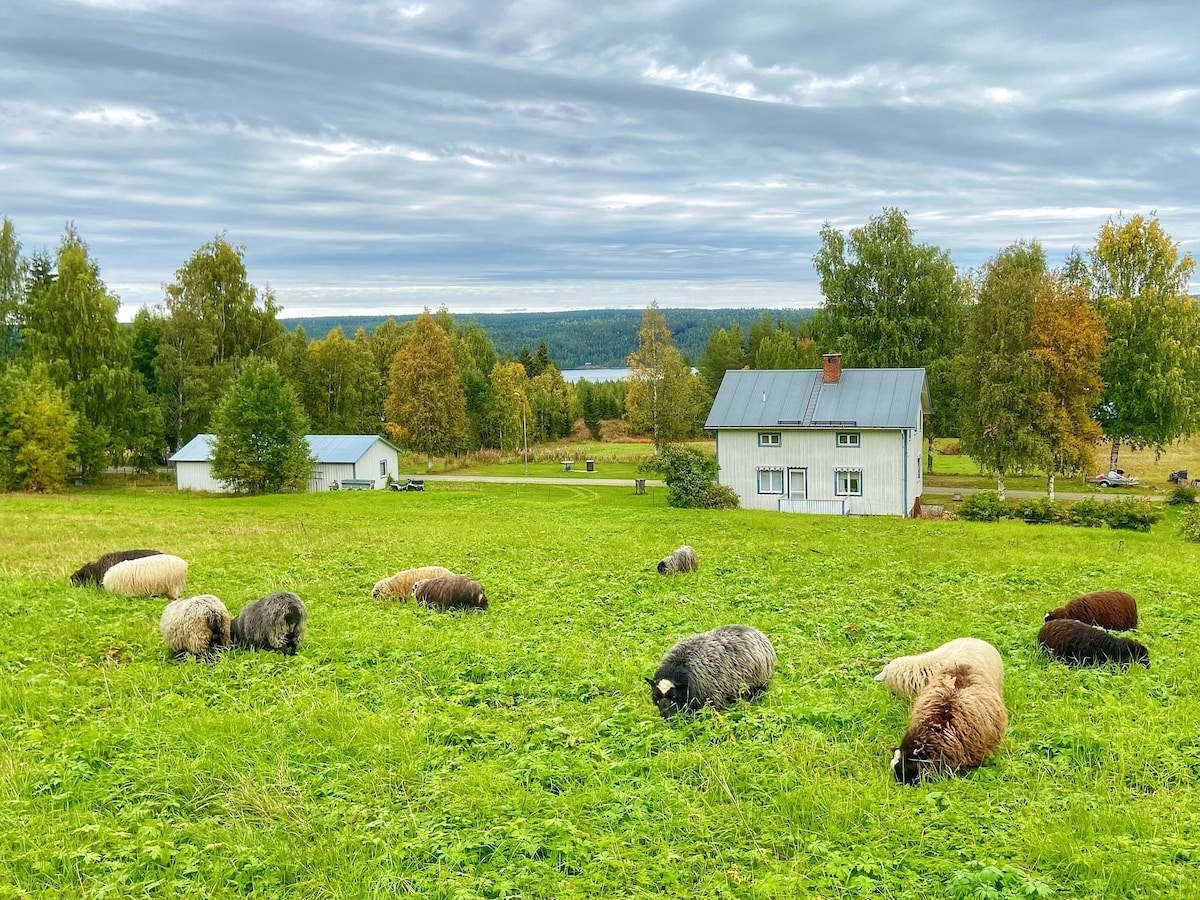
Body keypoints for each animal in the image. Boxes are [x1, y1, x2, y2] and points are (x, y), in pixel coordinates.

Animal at [648, 628, 777, 720]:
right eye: (656, 696)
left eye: (673, 696)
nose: (664, 715)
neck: (679, 666)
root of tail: (755, 630)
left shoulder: (711, 697)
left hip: (758, 683)